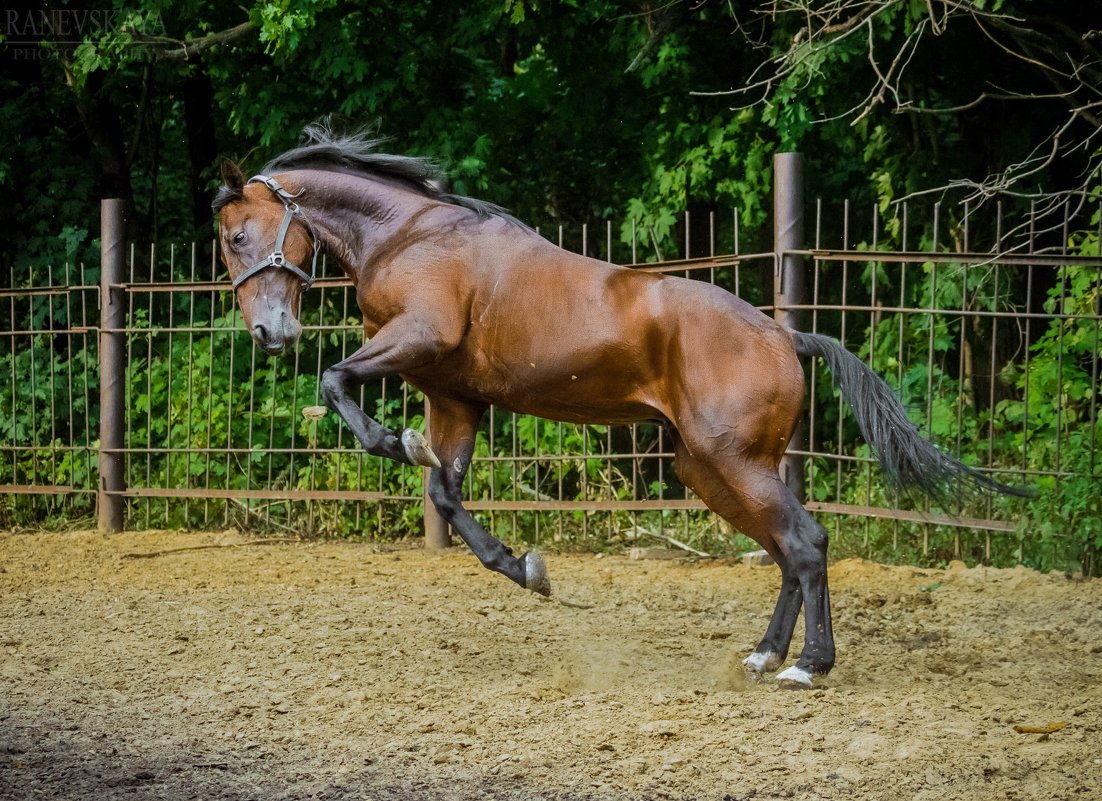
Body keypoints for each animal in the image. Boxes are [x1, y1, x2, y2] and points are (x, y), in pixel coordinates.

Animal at [214, 125, 1022, 687]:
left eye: (239, 234)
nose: (269, 333)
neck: (412, 236)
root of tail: (785, 336)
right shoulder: (456, 397)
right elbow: (444, 490)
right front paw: (525, 567)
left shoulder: (419, 339)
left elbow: (335, 381)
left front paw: (392, 440)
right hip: (710, 472)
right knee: (786, 553)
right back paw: (764, 656)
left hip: (732, 464)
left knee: (807, 543)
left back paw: (805, 665)